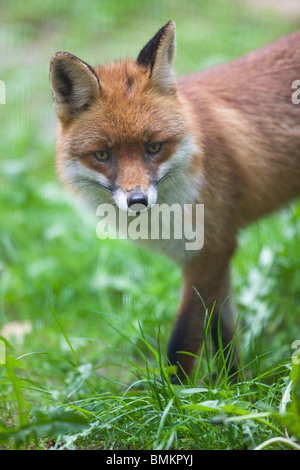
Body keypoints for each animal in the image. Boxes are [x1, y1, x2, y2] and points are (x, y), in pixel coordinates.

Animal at [49, 21, 300, 382]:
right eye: (102, 155)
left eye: (153, 147)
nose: (137, 200)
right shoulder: (215, 255)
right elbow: (222, 331)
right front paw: (234, 383)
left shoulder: (209, 252)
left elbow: (184, 338)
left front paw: (176, 391)